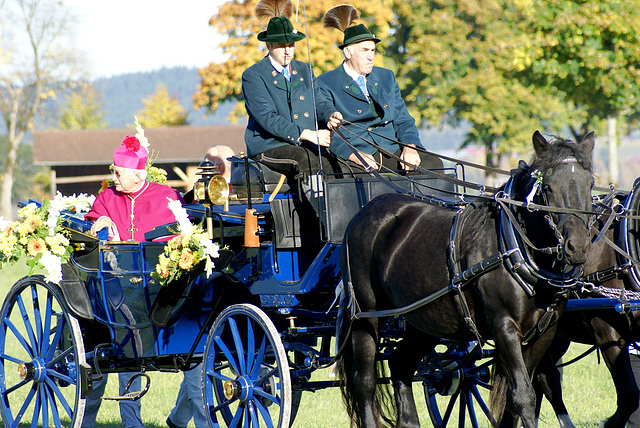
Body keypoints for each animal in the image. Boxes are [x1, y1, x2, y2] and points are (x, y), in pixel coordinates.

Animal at [340, 131, 596, 428]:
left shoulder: (545, 333)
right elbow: (523, 395)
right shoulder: (504, 327)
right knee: (365, 381)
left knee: (400, 363)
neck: (515, 248)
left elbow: (516, 398)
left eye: (590, 184)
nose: (577, 246)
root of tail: (364, 211)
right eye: (549, 187)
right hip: (365, 315)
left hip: (424, 319)